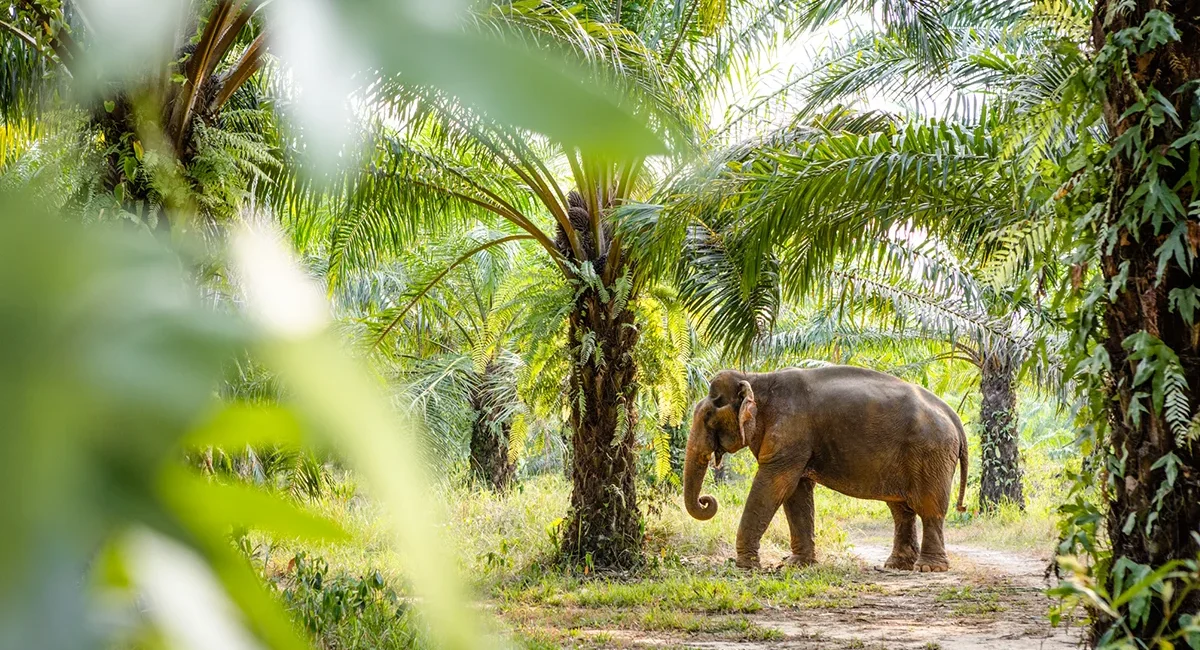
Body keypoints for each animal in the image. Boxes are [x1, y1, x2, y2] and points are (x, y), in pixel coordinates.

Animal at [683, 365, 968, 572]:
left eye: (708, 417)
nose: (707, 500)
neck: (755, 377)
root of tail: (952, 415)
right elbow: (796, 493)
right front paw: (796, 565)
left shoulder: (790, 432)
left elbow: (774, 484)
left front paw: (745, 566)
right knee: (901, 509)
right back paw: (897, 566)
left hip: (931, 452)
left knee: (929, 507)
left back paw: (928, 568)